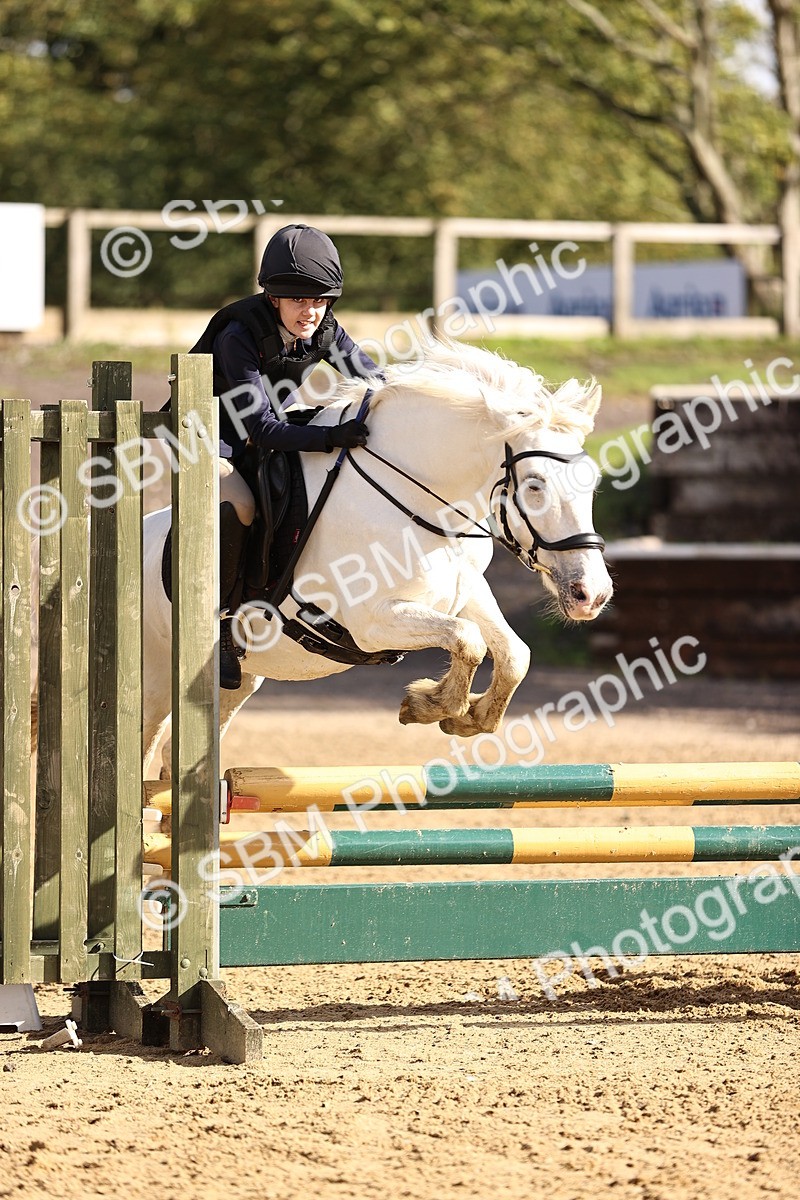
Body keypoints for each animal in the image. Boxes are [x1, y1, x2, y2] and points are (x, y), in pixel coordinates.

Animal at [142, 341, 613, 776]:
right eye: (534, 485)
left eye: (591, 482)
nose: (592, 595)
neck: (416, 500)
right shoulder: (371, 621)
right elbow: (468, 640)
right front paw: (428, 704)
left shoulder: (463, 592)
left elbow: (513, 654)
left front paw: (469, 718)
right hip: (156, 685)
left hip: (239, 684)